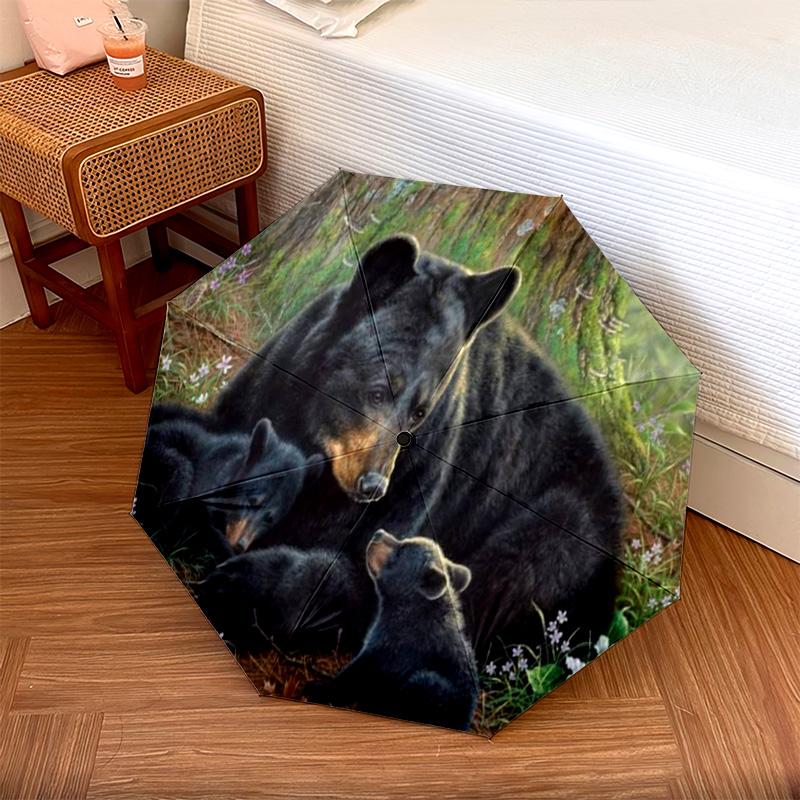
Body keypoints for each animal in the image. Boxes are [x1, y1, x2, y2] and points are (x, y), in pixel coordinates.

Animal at [208, 233, 623, 658]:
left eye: (420, 413)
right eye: (377, 391)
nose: (372, 485)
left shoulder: (417, 479)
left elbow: (367, 573)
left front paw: (247, 582)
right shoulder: (266, 392)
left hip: (561, 532)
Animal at [306, 530, 478, 731]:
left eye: (402, 548)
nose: (378, 533)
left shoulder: (396, 648)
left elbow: (361, 673)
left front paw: (318, 688)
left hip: (432, 691)